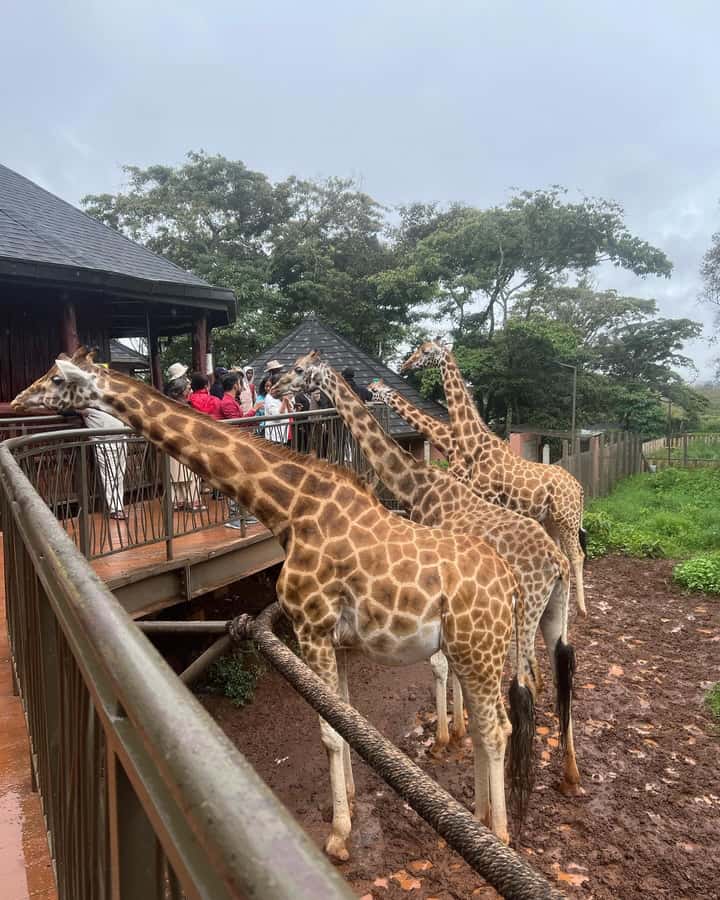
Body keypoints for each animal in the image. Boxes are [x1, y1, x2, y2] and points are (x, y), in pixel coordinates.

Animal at [13, 347, 530, 855]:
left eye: (56, 378)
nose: (19, 401)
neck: (290, 510)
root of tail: (509, 581)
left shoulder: (311, 627)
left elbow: (328, 734)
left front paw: (338, 837)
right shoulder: (336, 640)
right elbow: (345, 722)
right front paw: (350, 803)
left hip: (477, 650)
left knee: (496, 729)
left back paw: (501, 835)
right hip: (469, 651)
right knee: (487, 727)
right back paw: (481, 819)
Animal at [400, 342, 587, 617]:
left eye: (425, 352)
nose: (405, 365)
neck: (475, 445)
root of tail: (579, 487)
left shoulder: (483, 498)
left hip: (568, 520)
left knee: (577, 556)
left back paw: (581, 609)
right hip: (552, 520)